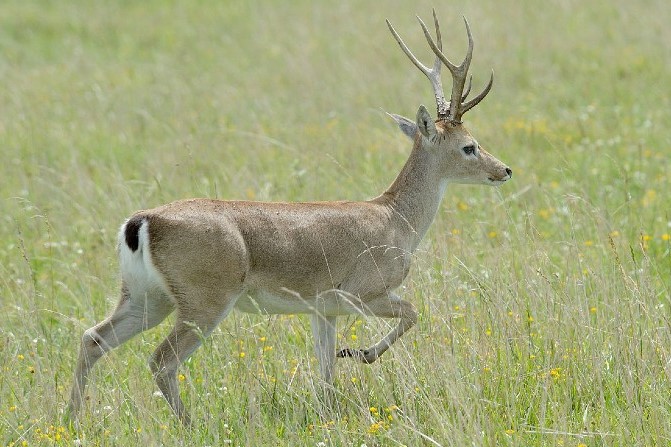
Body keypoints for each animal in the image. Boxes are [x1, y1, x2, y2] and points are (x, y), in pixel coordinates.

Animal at [67, 8, 510, 426]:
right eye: (469, 146)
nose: (504, 169)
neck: (395, 216)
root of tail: (141, 222)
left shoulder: (322, 309)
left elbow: (326, 369)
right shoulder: (358, 293)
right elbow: (413, 313)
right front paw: (361, 353)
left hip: (146, 298)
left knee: (93, 338)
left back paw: (72, 419)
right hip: (204, 304)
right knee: (161, 360)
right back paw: (189, 425)